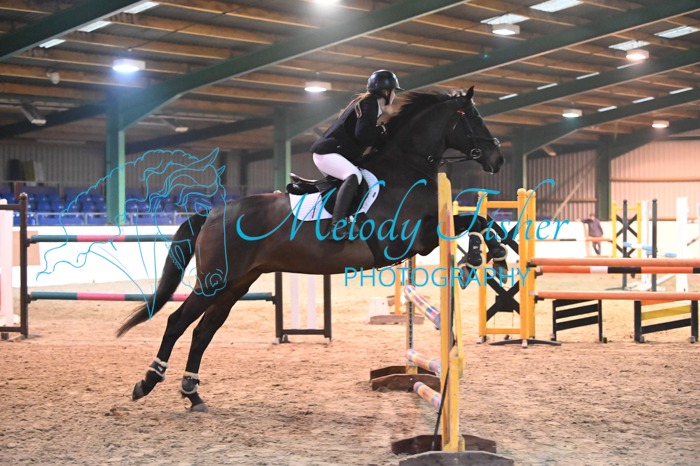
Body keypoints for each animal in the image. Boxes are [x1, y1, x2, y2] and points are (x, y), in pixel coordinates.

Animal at [117, 87, 504, 412]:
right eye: (472, 116)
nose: (497, 159)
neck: (406, 166)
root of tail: (212, 212)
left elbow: (482, 222)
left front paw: (492, 256)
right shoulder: (410, 240)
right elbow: (473, 221)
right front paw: (478, 259)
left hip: (236, 284)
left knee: (202, 332)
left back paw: (192, 393)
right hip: (215, 280)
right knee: (177, 322)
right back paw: (147, 383)